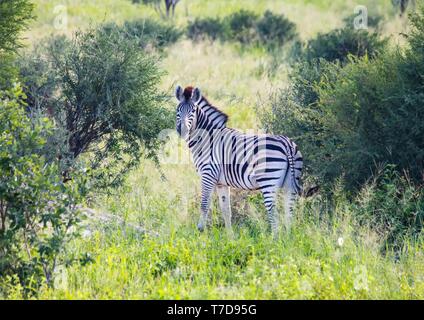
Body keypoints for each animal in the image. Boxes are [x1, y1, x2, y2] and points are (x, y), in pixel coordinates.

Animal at [174, 85, 304, 235]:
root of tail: (287, 144)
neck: (207, 138)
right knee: (289, 213)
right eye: (178, 110)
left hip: (268, 181)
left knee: (274, 212)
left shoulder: (208, 174)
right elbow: (226, 209)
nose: (182, 131)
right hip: (290, 183)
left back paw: (274, 239)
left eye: (193, 111)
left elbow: (204, 204)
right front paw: (230, 236)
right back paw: (287, 238)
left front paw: (200, 230)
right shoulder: (221, 183)